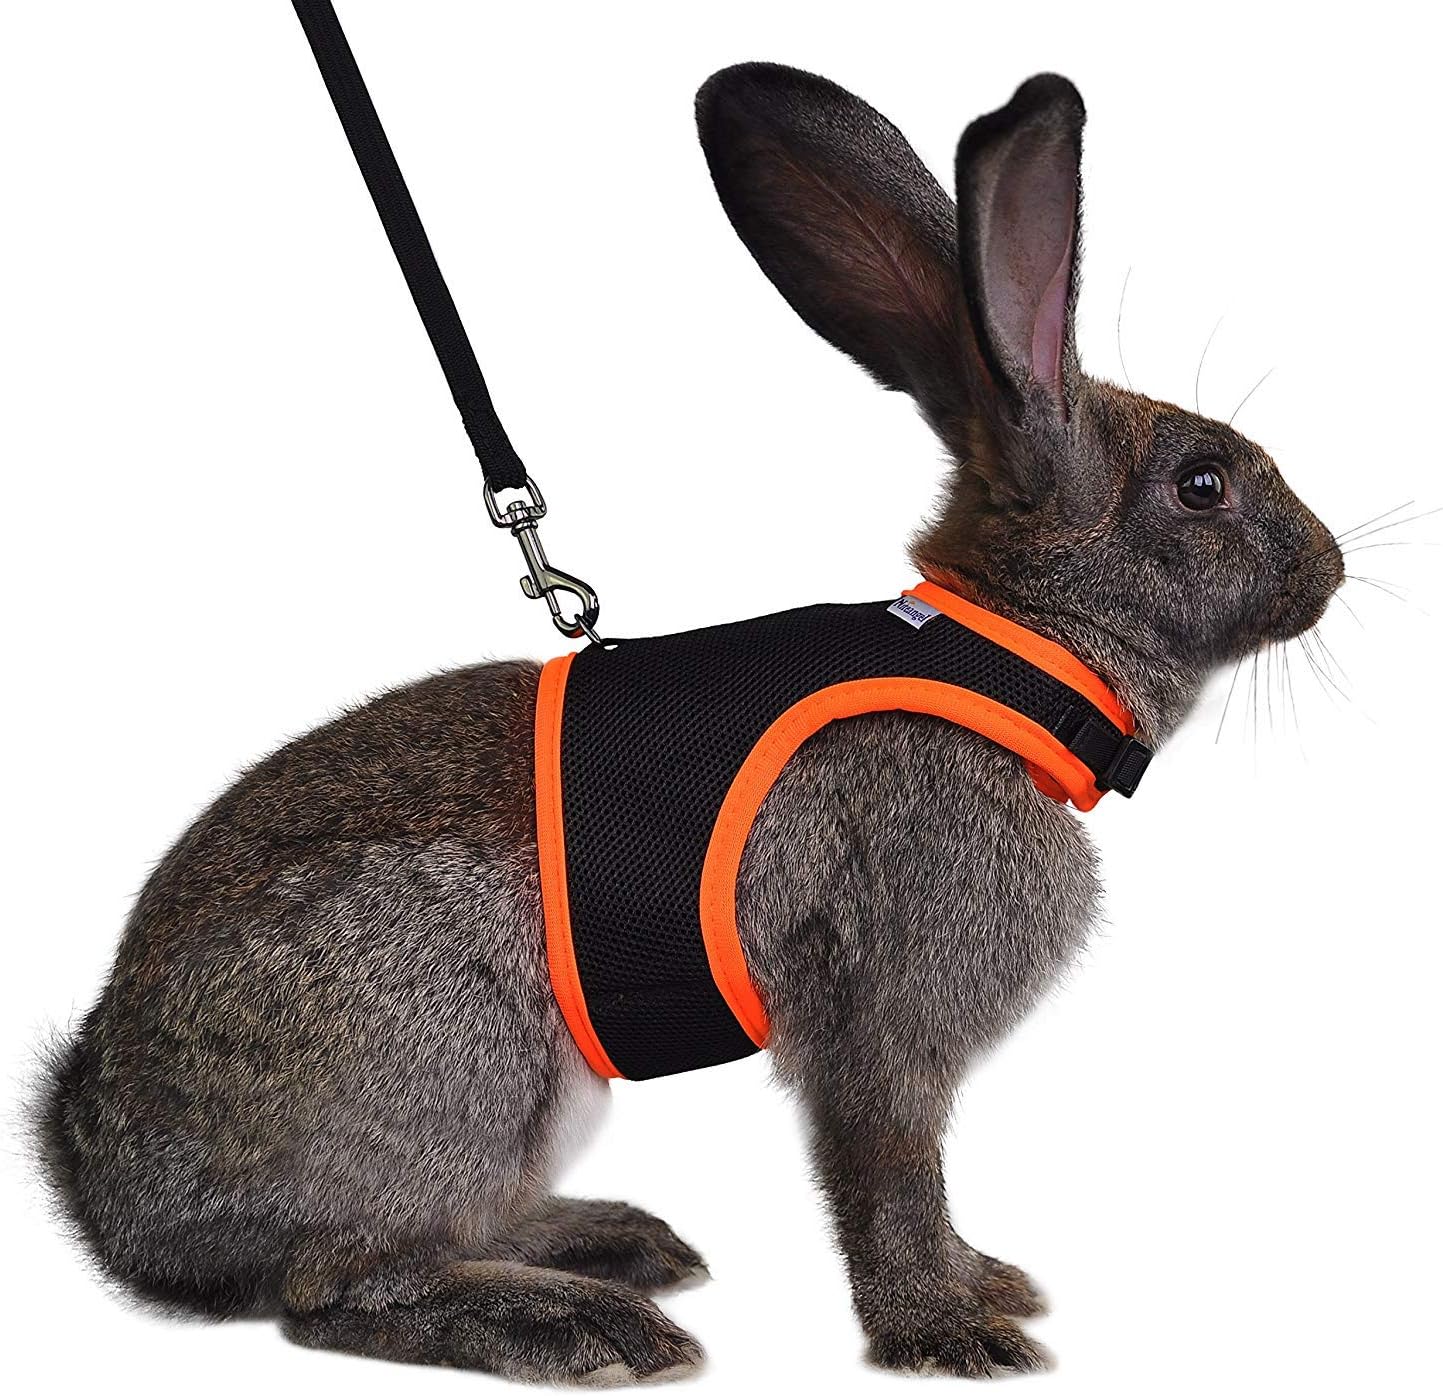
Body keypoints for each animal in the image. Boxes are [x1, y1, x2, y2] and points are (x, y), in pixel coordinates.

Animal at [36, 63, 1343, 1384]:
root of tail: (110, 1179)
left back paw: (613, 1243)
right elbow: (887, 1175)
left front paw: (986, 1283)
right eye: (1203, 485)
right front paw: (947, 1329)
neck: (1012, 650)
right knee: (336, 1286)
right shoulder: (883, 1015)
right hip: (461, 1063)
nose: (1328, 571)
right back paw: (581, 1322)